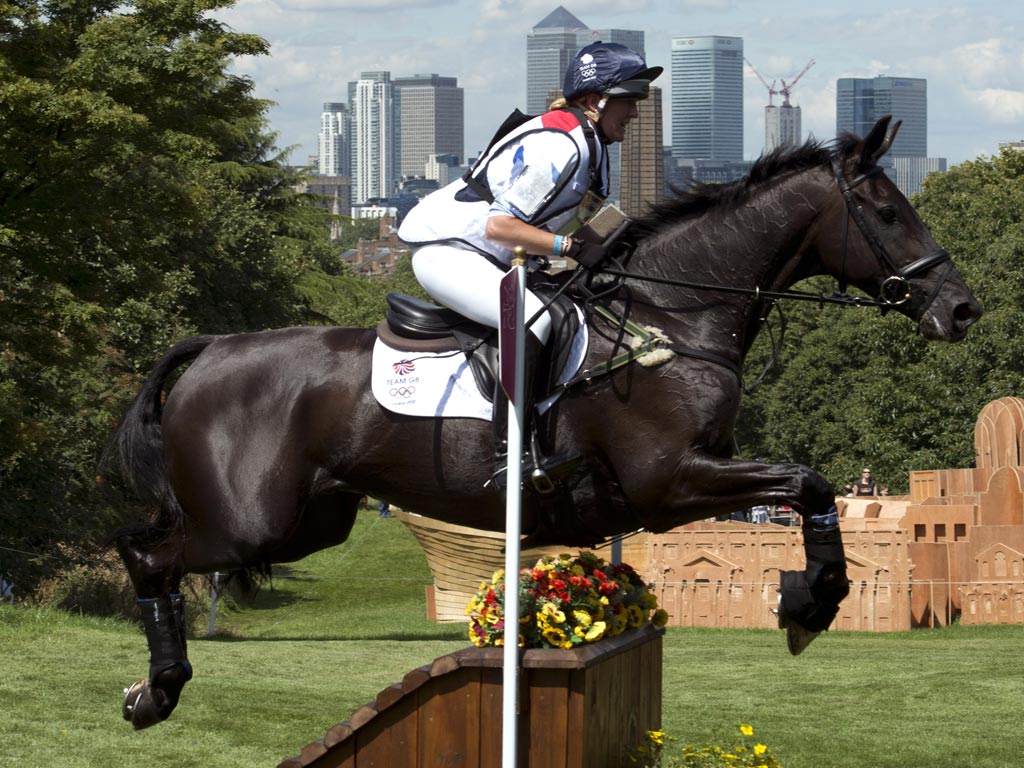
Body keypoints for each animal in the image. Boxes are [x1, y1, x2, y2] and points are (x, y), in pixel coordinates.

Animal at [105, 117, 983, 729]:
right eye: (886, 212)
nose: (962, 309)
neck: (673, 315)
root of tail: (215, 346)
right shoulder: (670, 483)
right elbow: (809, 483)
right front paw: (811, 603)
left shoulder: (686, 481)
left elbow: (805, 489)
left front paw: (809, 595)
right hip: (250, 523)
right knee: (145, 554)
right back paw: (156, 691)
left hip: (311, 521)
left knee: (155, 550)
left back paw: (155, 688)